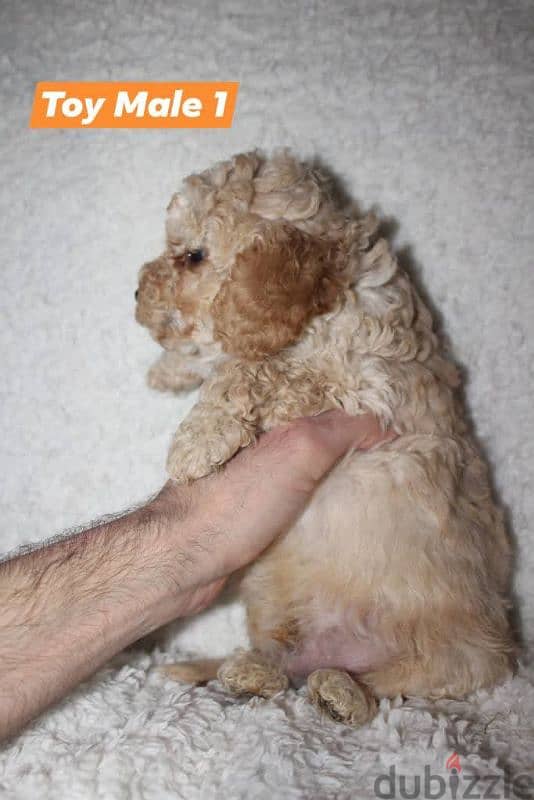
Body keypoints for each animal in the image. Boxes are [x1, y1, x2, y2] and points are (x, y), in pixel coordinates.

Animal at [136, 148, 516, 724]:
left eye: (194, 257)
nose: (136, 294)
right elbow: (231, 358)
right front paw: (170, 371)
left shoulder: (363, 388)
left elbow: (252, 369)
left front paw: (196, 440)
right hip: (275, 605)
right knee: (281, 666)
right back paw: (232, 671)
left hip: (453, 658)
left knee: (391, 688)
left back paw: (340, 694)